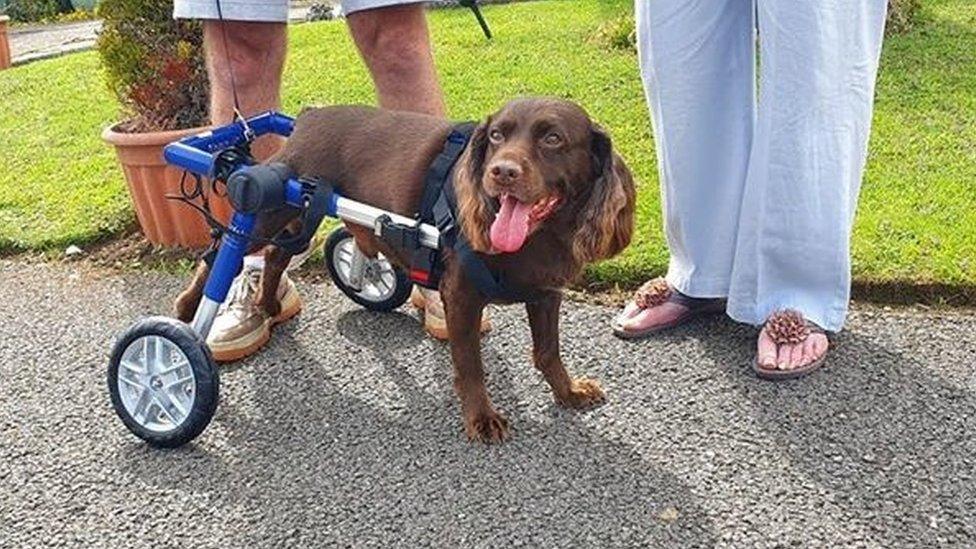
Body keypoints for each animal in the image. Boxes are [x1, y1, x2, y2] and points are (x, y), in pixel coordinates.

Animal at [173, 97, 640, 440]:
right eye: (495, 135)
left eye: (554, 138)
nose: (501, 172)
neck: (537, 238)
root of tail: (309, 115)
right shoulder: (462, 296)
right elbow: (470, 364)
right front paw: (481, 419)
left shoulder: (545, 293)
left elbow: (547, 352)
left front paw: (568, 392)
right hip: (267, 199)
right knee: (221, 255)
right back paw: (187, 312)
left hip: (302, 211)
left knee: (275, 256)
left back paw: (269, 303)